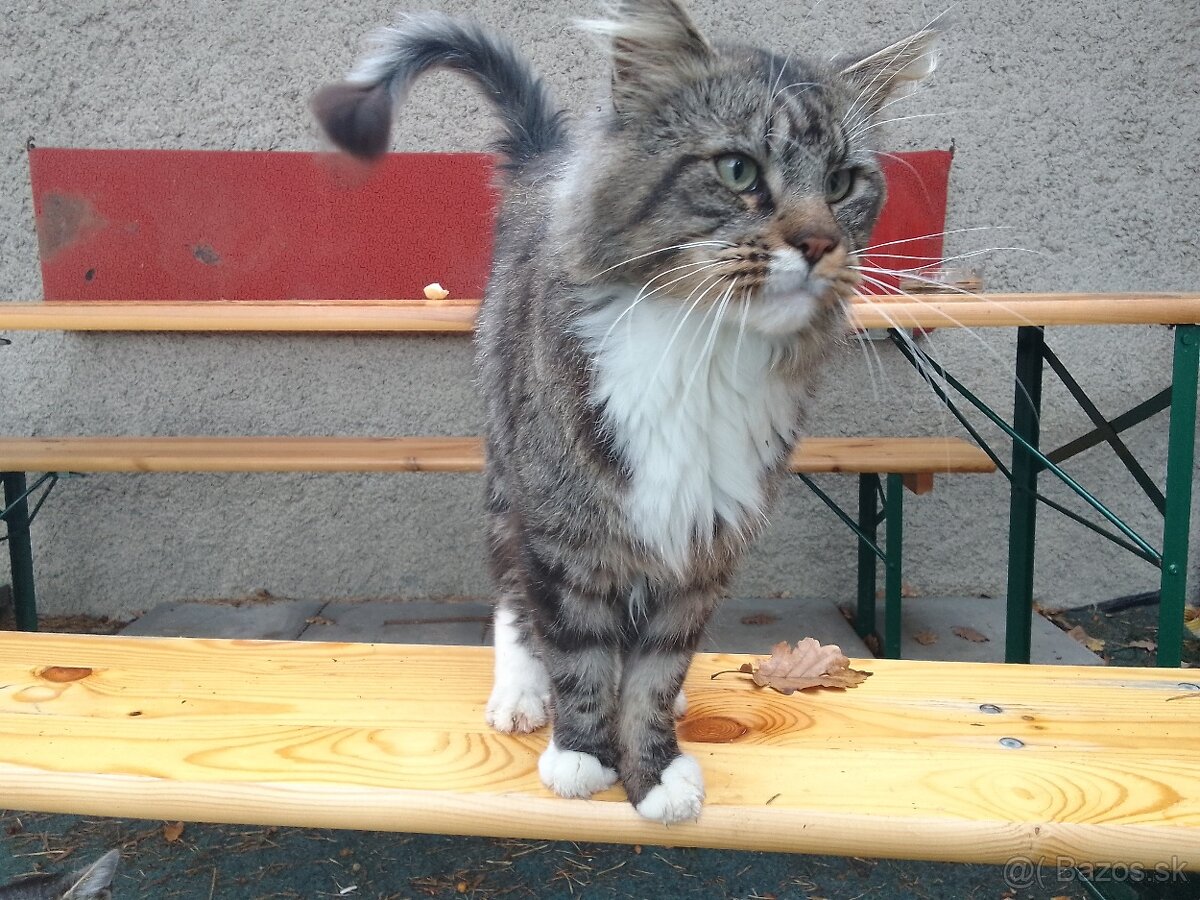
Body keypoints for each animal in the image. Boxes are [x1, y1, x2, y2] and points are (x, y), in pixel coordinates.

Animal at [316, 0, 936, 825]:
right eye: (738, 170)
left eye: (842, 183)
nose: (819, 242)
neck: (701, 353)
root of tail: (548, 159)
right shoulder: (564, 529)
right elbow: (579, 652)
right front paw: (583, 753)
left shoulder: (704, 542)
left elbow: (655, 670)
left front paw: (654, 766)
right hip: (509, 473)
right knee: (513, 593)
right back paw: (521, 691)